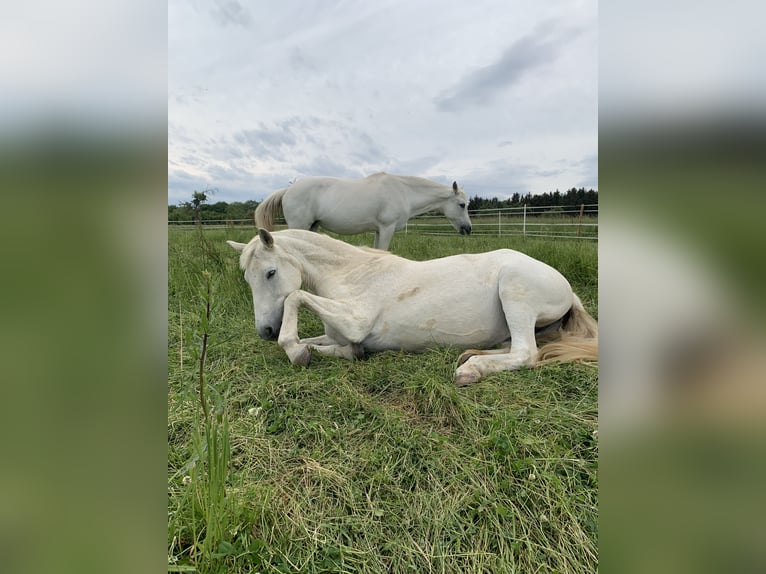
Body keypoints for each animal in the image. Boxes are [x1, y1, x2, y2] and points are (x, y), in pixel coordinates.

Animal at [228, 230, 600, 388]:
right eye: (246, 278)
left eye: (270, 273)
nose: (265, 331)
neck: (352, 275)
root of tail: (567, 288)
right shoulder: (339, 333)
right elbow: (320, 344)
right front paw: (309, 350)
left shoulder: (355, 321)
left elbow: (295, 297)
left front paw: (294, 351)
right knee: (515, 347)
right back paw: (470, 355)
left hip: (514, 289)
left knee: (526, 353)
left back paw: (471, 370)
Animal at [255, 172, 474, 251]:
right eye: (462, 204)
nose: (468, 229)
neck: (403, 191)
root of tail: (288, 190)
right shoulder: (387, 228)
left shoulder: (378, 230)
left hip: (312, 227)